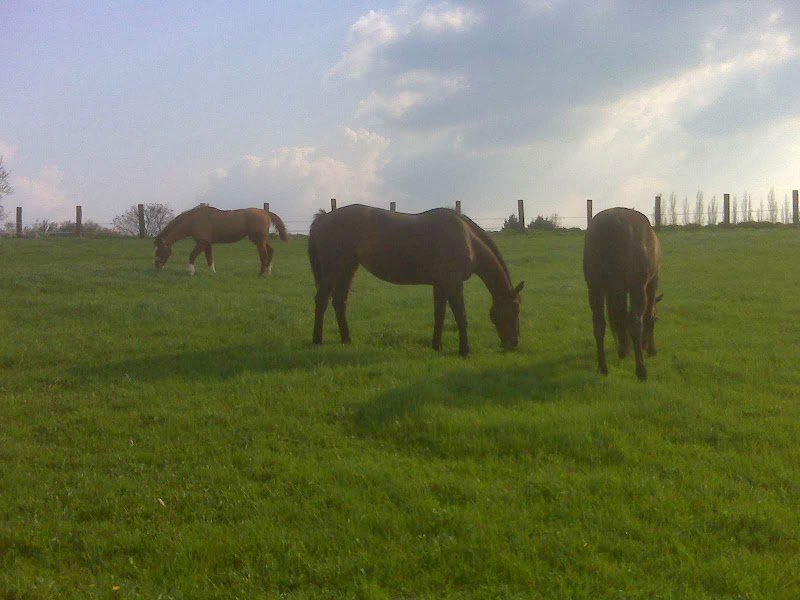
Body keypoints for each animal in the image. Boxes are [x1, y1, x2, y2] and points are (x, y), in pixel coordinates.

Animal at [154, 205, 290, 275]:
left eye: (160, 251)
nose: (157, 268)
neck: (194, 220)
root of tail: (265, 213)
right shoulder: (207, 243)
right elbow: (210, 259)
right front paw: (213, 273)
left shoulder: (202, 242)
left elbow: (192, 255)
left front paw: (191, 271)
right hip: (260, 240)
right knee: (270, 252)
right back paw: (268, 271)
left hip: (258, 240)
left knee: (264, 255)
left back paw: (261, 274)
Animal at [308, 204, 524, 357]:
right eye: (515, 309)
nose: (513, 343)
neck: (467, 238)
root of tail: (324, 217)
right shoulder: (453, 283)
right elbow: (461, 316)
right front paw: (465, 351)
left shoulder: (440, 285)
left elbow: (440, 314)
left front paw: (437, 345)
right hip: (333, 270)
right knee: (321, 300)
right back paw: (317, 340)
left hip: (348, 269)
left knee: (339, 301)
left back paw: (347, 339)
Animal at [583, 207, 663, 380]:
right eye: (658, 319)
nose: (644, 345)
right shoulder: (651, 283)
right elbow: (647, 318)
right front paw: (651, 350)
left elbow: (619, 317)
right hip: (637, 287)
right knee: (635, 322)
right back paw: (641, 370)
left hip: (594, 288)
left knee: (599, 325)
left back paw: (603, 367)